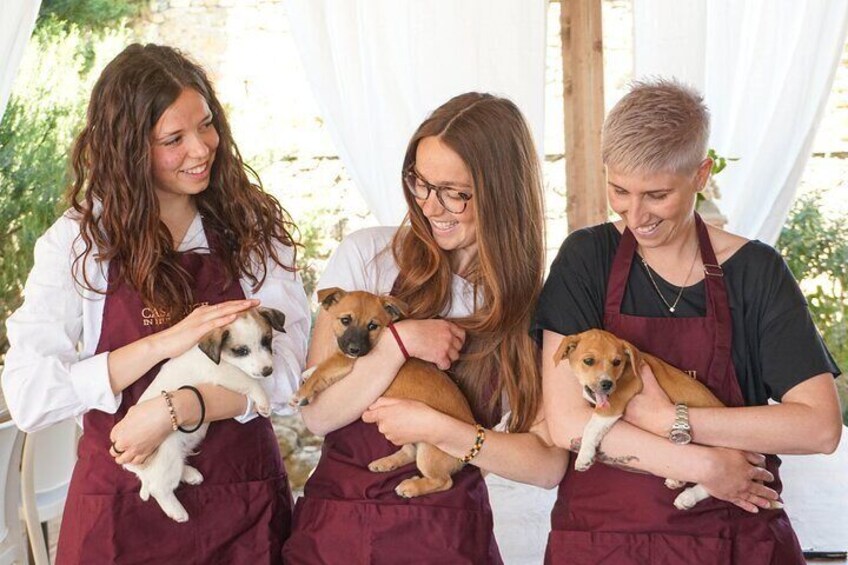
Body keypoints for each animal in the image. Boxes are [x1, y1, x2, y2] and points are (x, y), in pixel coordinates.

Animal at [124, 306, 286, 524]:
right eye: (241, 351)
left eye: (266, 341)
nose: (268, 371)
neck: (218, 358)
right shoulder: (224, 373)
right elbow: (250, 381)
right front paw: (263, 400)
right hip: (168, 456)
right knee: (158, 487)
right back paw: (177, 511)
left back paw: (190, 474)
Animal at [292, 286, 476, 498]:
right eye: (345, 320)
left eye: (373, 326)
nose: (355, 349)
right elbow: (324, 366)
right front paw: (308, 373)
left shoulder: (345, 362)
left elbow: (325, 368)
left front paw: (302, 392)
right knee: (410, 452)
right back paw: (386, 463)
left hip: (429, 450)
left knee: (444, 481)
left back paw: (410, 487)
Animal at [552, 328, 724, 508]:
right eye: (588, 361)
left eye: (617, 362)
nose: (607, 384)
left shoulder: (613, 405)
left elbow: (591, 427)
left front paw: (584, 455)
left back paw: (688, 497)